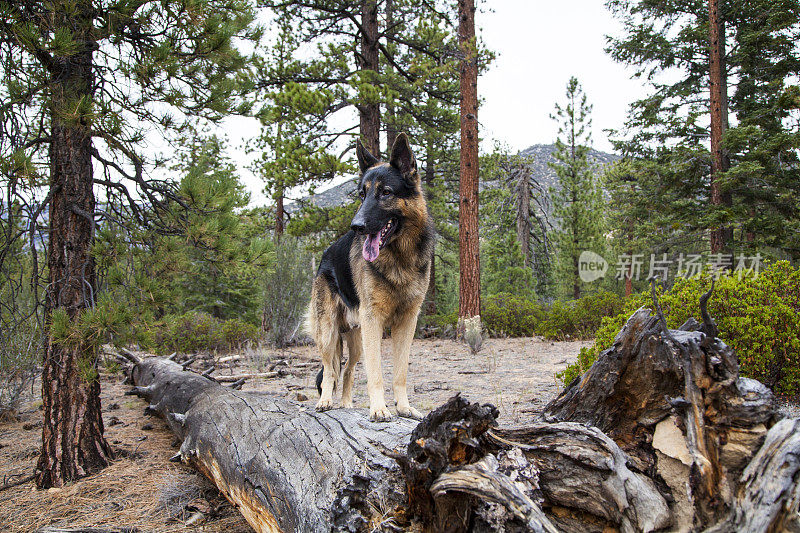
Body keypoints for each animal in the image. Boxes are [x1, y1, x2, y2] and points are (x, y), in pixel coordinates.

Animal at [310, 133, 434, 420]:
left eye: (385, 192)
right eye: (362, 194)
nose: (356, 226)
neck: (400, 257)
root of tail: (324, 257)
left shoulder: (407, 322)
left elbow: (400, 372)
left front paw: (404, 407)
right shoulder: (373, 321)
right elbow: (376, 372)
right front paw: (379, 408)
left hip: (356, 341)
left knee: (348, 370)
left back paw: (346, 403)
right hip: (328, 332)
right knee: (330, 370)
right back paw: (325, 401)